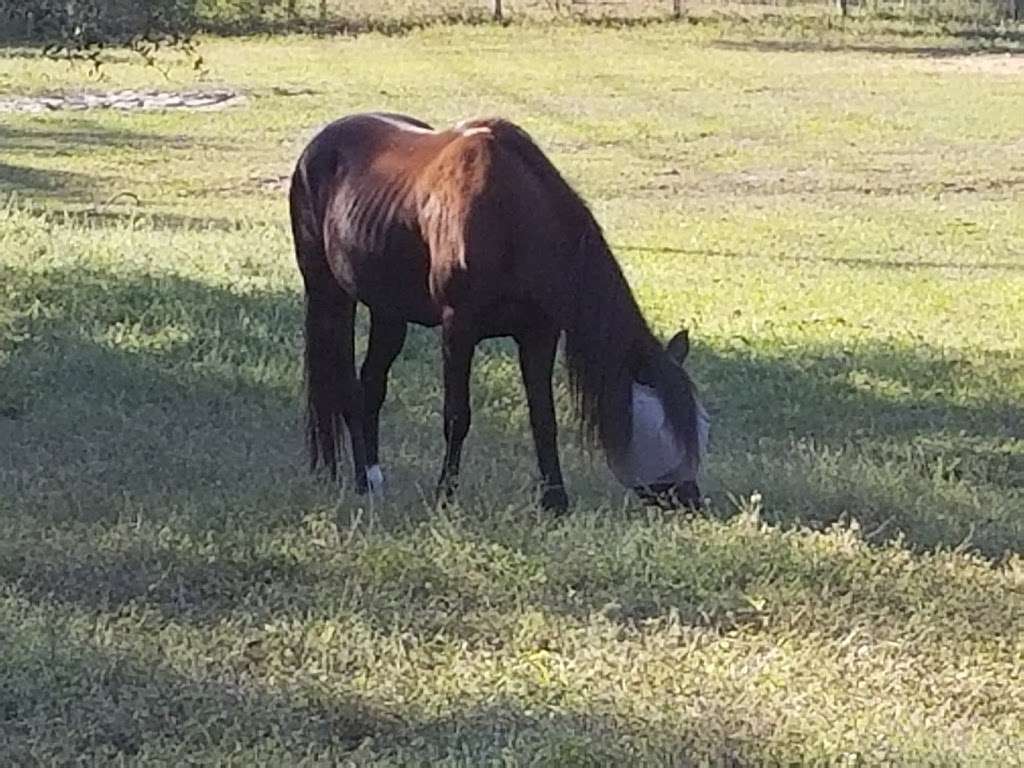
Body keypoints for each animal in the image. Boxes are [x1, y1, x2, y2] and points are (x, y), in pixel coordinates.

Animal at [286, 111, 704, 514]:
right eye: (661, 432)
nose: (693, 500)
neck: (508, 215)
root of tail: (317, 146)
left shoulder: (539, 334)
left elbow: (543, 419)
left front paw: (555, 501)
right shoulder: (458, 329)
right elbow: (457, 417)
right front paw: (445, 495)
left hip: (389, 312)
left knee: (369, 387)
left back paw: (372, 479)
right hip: (330, 295)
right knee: (341, 386)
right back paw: (353, 479)